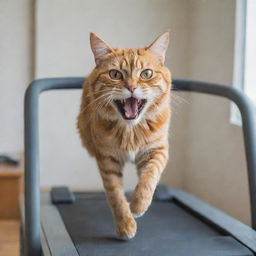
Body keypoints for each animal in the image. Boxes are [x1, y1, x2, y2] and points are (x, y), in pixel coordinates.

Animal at [77, 31, 171, 238]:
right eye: (115, 74)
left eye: (146, 74)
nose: (132, 88)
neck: (130, 131)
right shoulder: (107, 160)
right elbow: (116, 196)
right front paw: (125, 224)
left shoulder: (157, 151)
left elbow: (149, 178)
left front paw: (138, 204)